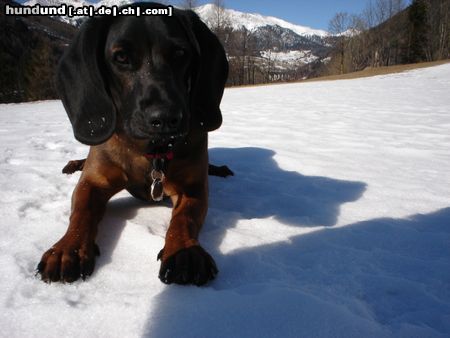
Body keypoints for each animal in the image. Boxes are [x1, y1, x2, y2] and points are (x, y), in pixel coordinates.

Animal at [37, 2, 230, 286]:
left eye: (180, 53)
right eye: (121, 57)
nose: (166, 118)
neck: (151, 152)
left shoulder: (193, 187)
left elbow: (184, 218)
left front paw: (184, 251)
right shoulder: (92, 182)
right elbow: (81, 211)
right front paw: (67, 247)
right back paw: (74, 163)